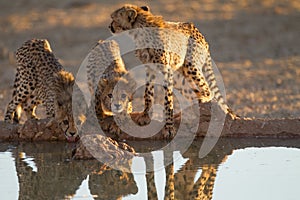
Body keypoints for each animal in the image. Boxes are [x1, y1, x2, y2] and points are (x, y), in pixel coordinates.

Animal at [109, 4, 238, 139]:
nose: (109, 26)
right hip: (179, 77)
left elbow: (168, 101)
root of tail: (197, 30)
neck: (139, 32)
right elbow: (148, 93)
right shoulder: (150, 68)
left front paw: (169, 127)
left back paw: (202, 102)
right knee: (193, 93)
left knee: (207, 90)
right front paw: (145, 115)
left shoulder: (167, 72)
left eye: (114, 18)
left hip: (190, 66)